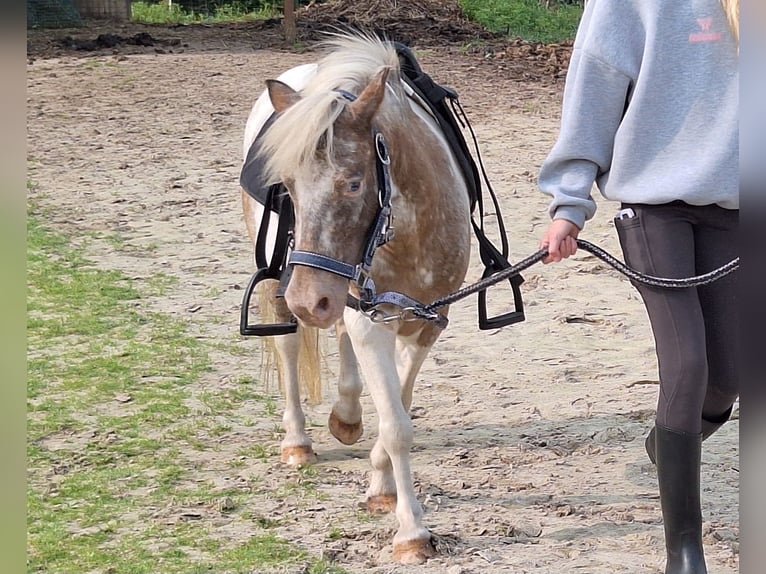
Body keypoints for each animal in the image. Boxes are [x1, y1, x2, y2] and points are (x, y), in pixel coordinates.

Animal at [240, 33, 472, 564]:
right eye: (287, 187)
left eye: (353, 183)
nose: (308, 300)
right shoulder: (375, 318)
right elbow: (396, 423)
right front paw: (412, 532)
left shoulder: (428, 319)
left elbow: (397, 412)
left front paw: (381, 485)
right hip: (287, 290)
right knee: (288, 347)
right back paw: (298, 441)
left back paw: (345, 415)